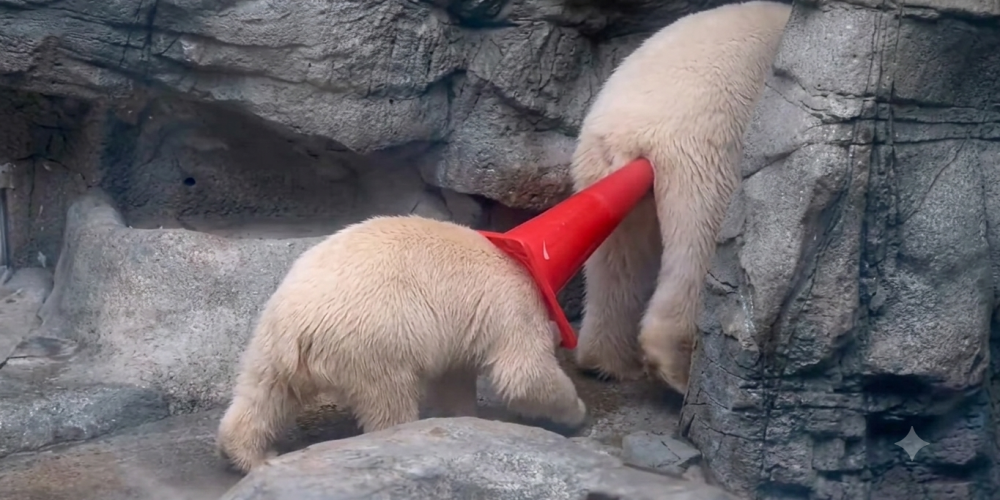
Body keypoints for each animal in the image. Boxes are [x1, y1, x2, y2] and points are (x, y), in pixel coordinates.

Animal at [216, 214, 588, 473]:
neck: (520, 267)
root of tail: (298, 324)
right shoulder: (513, 306)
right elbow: (524, 374)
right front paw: (577, 413)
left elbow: (453, 378)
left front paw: (464, 418)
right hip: (377, 339)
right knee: (389, 400)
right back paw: (398, 436)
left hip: (269, 343)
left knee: (264, 394)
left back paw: (252, 455)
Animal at [569, 1, 793, 394]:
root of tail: (627, 135)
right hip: (703, 158)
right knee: (699, 249)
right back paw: (676, 368)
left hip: (599, 172)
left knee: (615, 260)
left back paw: (607, 362)